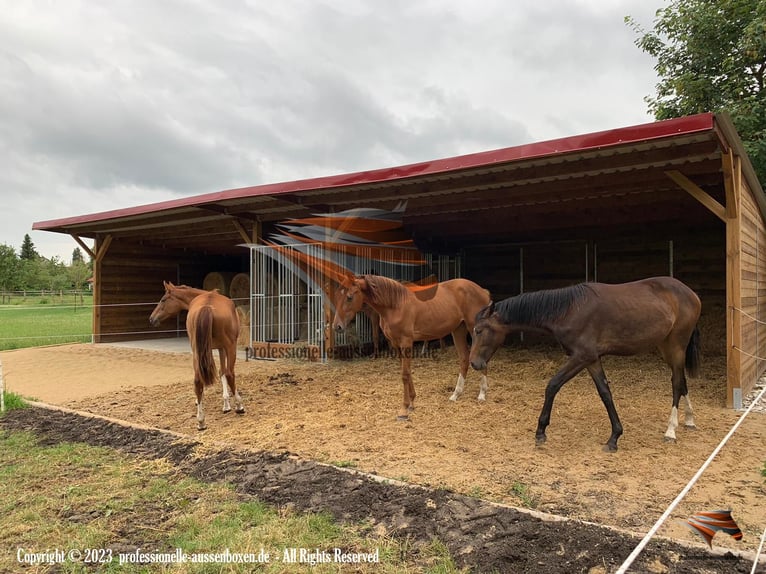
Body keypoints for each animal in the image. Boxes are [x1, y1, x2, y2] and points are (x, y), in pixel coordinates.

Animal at [149, 281, 244, 430]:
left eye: (163, 300)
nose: (152, 319)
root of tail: (207, 307)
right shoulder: (223, 348)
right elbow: (223, 372)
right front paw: (227, 404)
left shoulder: (214, 349)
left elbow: (217, 373)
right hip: (230, 347)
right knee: (230, 374)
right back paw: (239, 406)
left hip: (197, 351)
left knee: (198, 380)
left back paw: (201, 421)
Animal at [333, 274, 491, 419]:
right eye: (337, 296)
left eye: (349, 297)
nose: (337, 326)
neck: (395, 305)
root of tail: (482, 291)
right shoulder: (396, 344)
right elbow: (407, 372)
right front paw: (412, 402)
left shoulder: (406, 341)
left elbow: (404, 374)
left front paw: (403, 409)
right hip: (458, 329)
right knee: (464, 358)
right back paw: (456, 394)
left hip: (474, 329)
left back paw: (482, 394)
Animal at [469, 276, 701, 452]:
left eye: (479, 331)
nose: (474, 363)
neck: (569, 310)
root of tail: (690, 293)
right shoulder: (591, 359)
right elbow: (605, 393)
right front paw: (614, 437)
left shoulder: (581, 356)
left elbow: (552, 385)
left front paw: (541, 432)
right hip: (666, 346)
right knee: (681, 381)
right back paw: (689, 419)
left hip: (676, 346)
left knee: (676, 382)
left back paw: (671, 430)